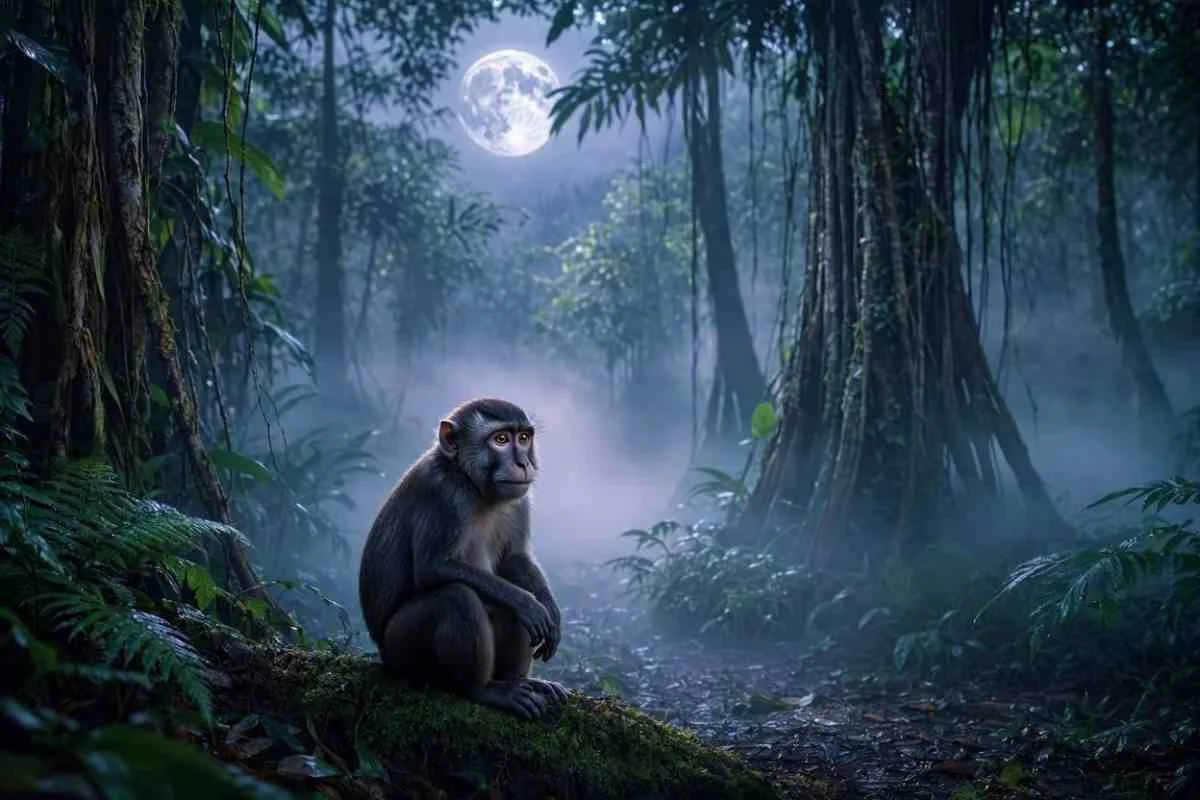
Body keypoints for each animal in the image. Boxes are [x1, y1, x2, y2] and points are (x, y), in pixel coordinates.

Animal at [358, 397, 569, 719]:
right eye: (500, 439)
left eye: (523, 438)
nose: (524, 463)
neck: (471, 483)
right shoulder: (444, 494)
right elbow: (433, 568)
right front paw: (526, 602)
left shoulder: (519, 499)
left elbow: (514, 560)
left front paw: (548, 607)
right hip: (399, 650)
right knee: (456, 597)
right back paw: (480, 689)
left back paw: (517, 681)